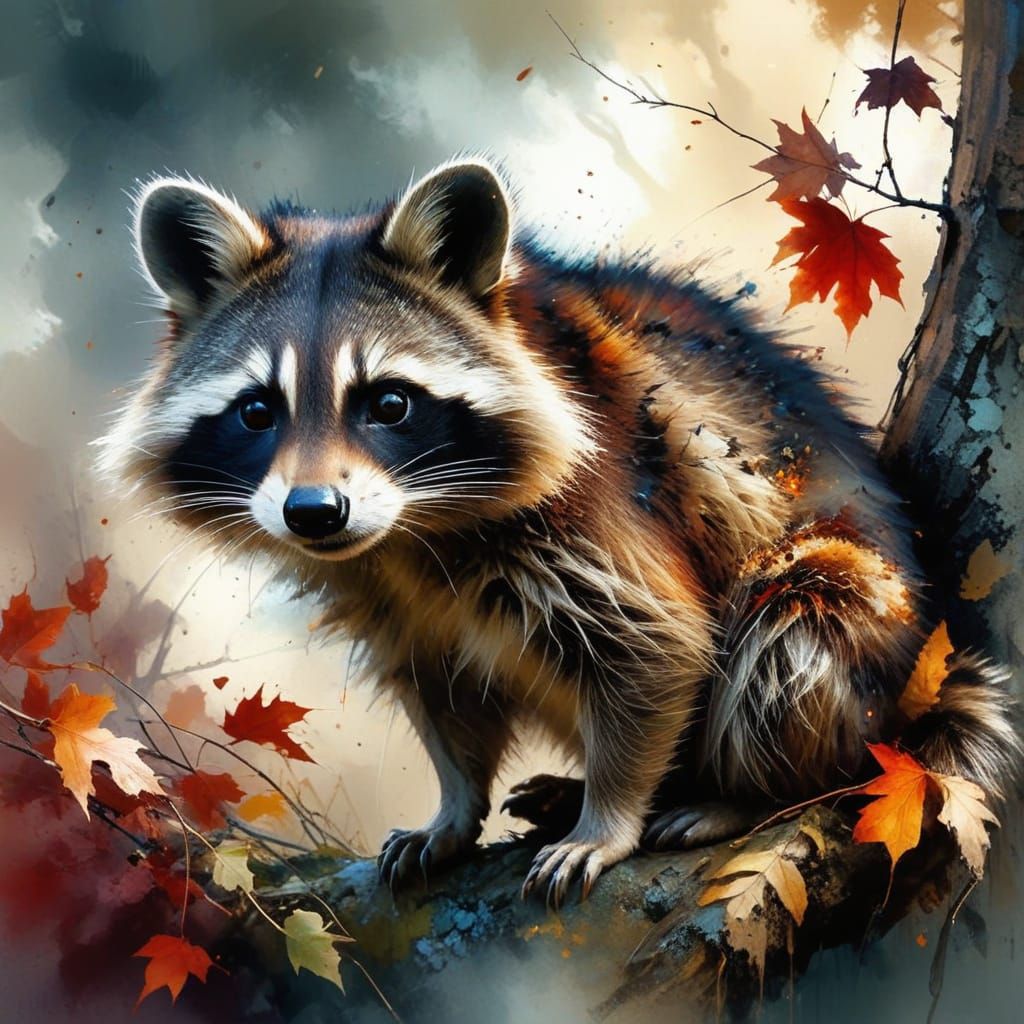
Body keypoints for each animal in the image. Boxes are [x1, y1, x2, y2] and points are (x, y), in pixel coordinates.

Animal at [100, 159, 1020, 906]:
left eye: (389, 402)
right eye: (257, 411)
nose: (314, 512)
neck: (408, 533)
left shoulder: (601, 505)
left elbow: (660, 645)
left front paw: (608, 815)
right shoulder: (390, 599)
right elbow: (442, 694)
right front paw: (455, 806)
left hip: (856, 625)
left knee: (796, 619)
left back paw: (740, 788)